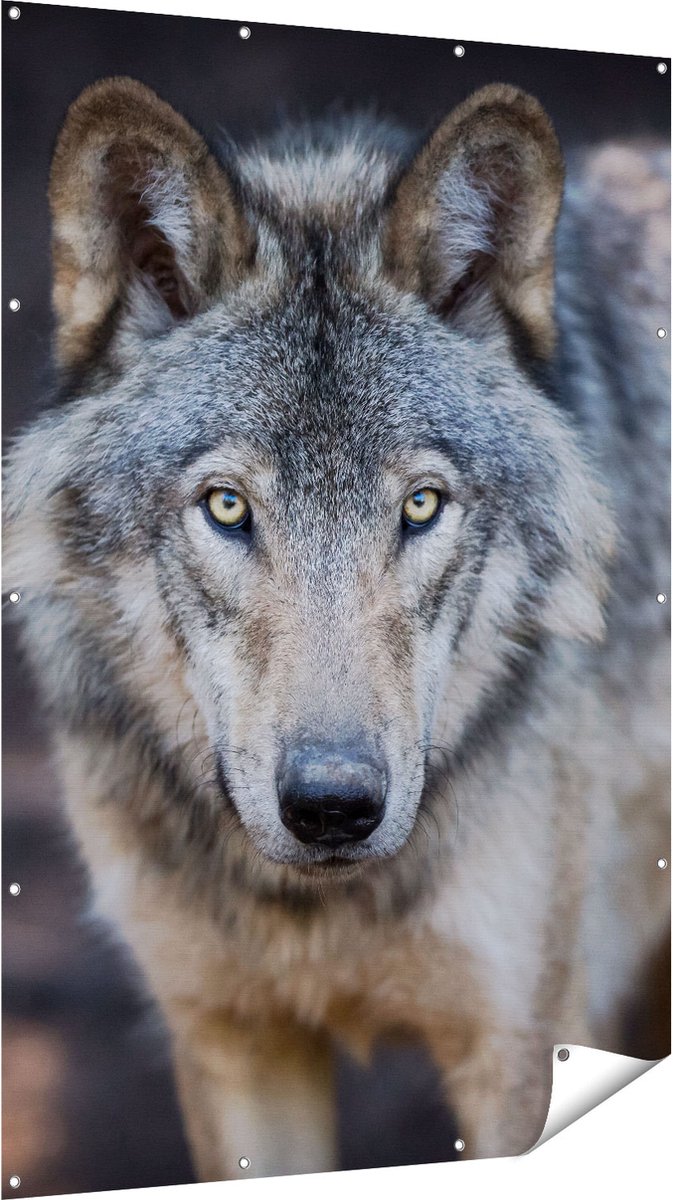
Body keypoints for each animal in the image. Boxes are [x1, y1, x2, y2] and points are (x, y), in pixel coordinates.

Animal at [4, 76, 670, 1178]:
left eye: (420, 506)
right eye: (228, 507)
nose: (332, 807)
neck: (315, 912)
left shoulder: (516, 1049)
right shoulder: (234, 1044)